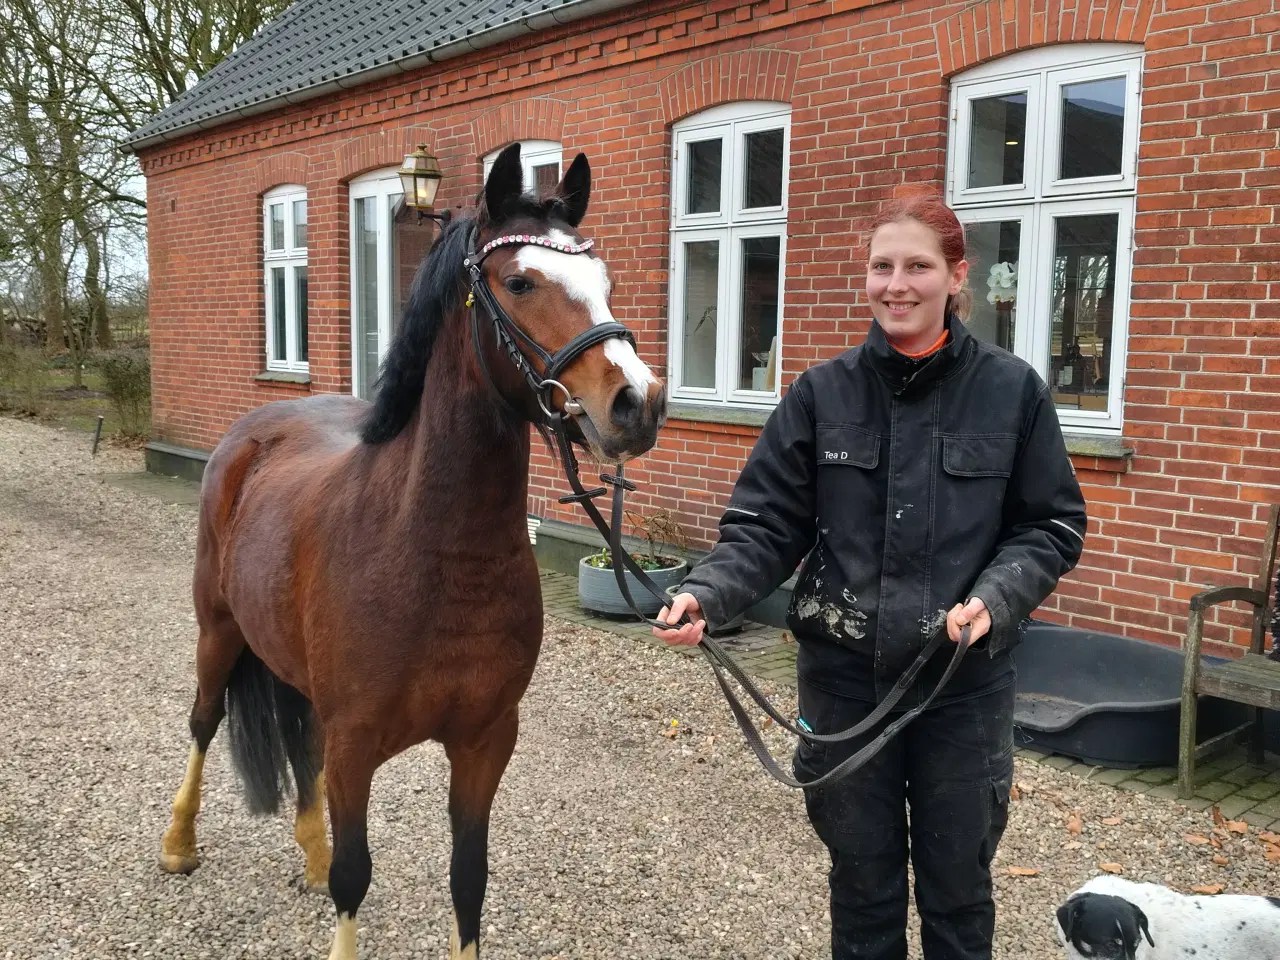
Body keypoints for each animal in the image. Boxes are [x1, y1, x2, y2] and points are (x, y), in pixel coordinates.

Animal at [157, 142, 668, 960]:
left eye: (605, 282)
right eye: (520, 281)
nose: (637, 403)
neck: (435, 554)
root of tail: (253, 431)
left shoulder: (486, 741)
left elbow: (468, 880)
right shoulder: (357, 743)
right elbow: (356, 878)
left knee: (298, 742)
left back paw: (308, 851)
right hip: (218, 630)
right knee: (203, 721)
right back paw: (178, 845)